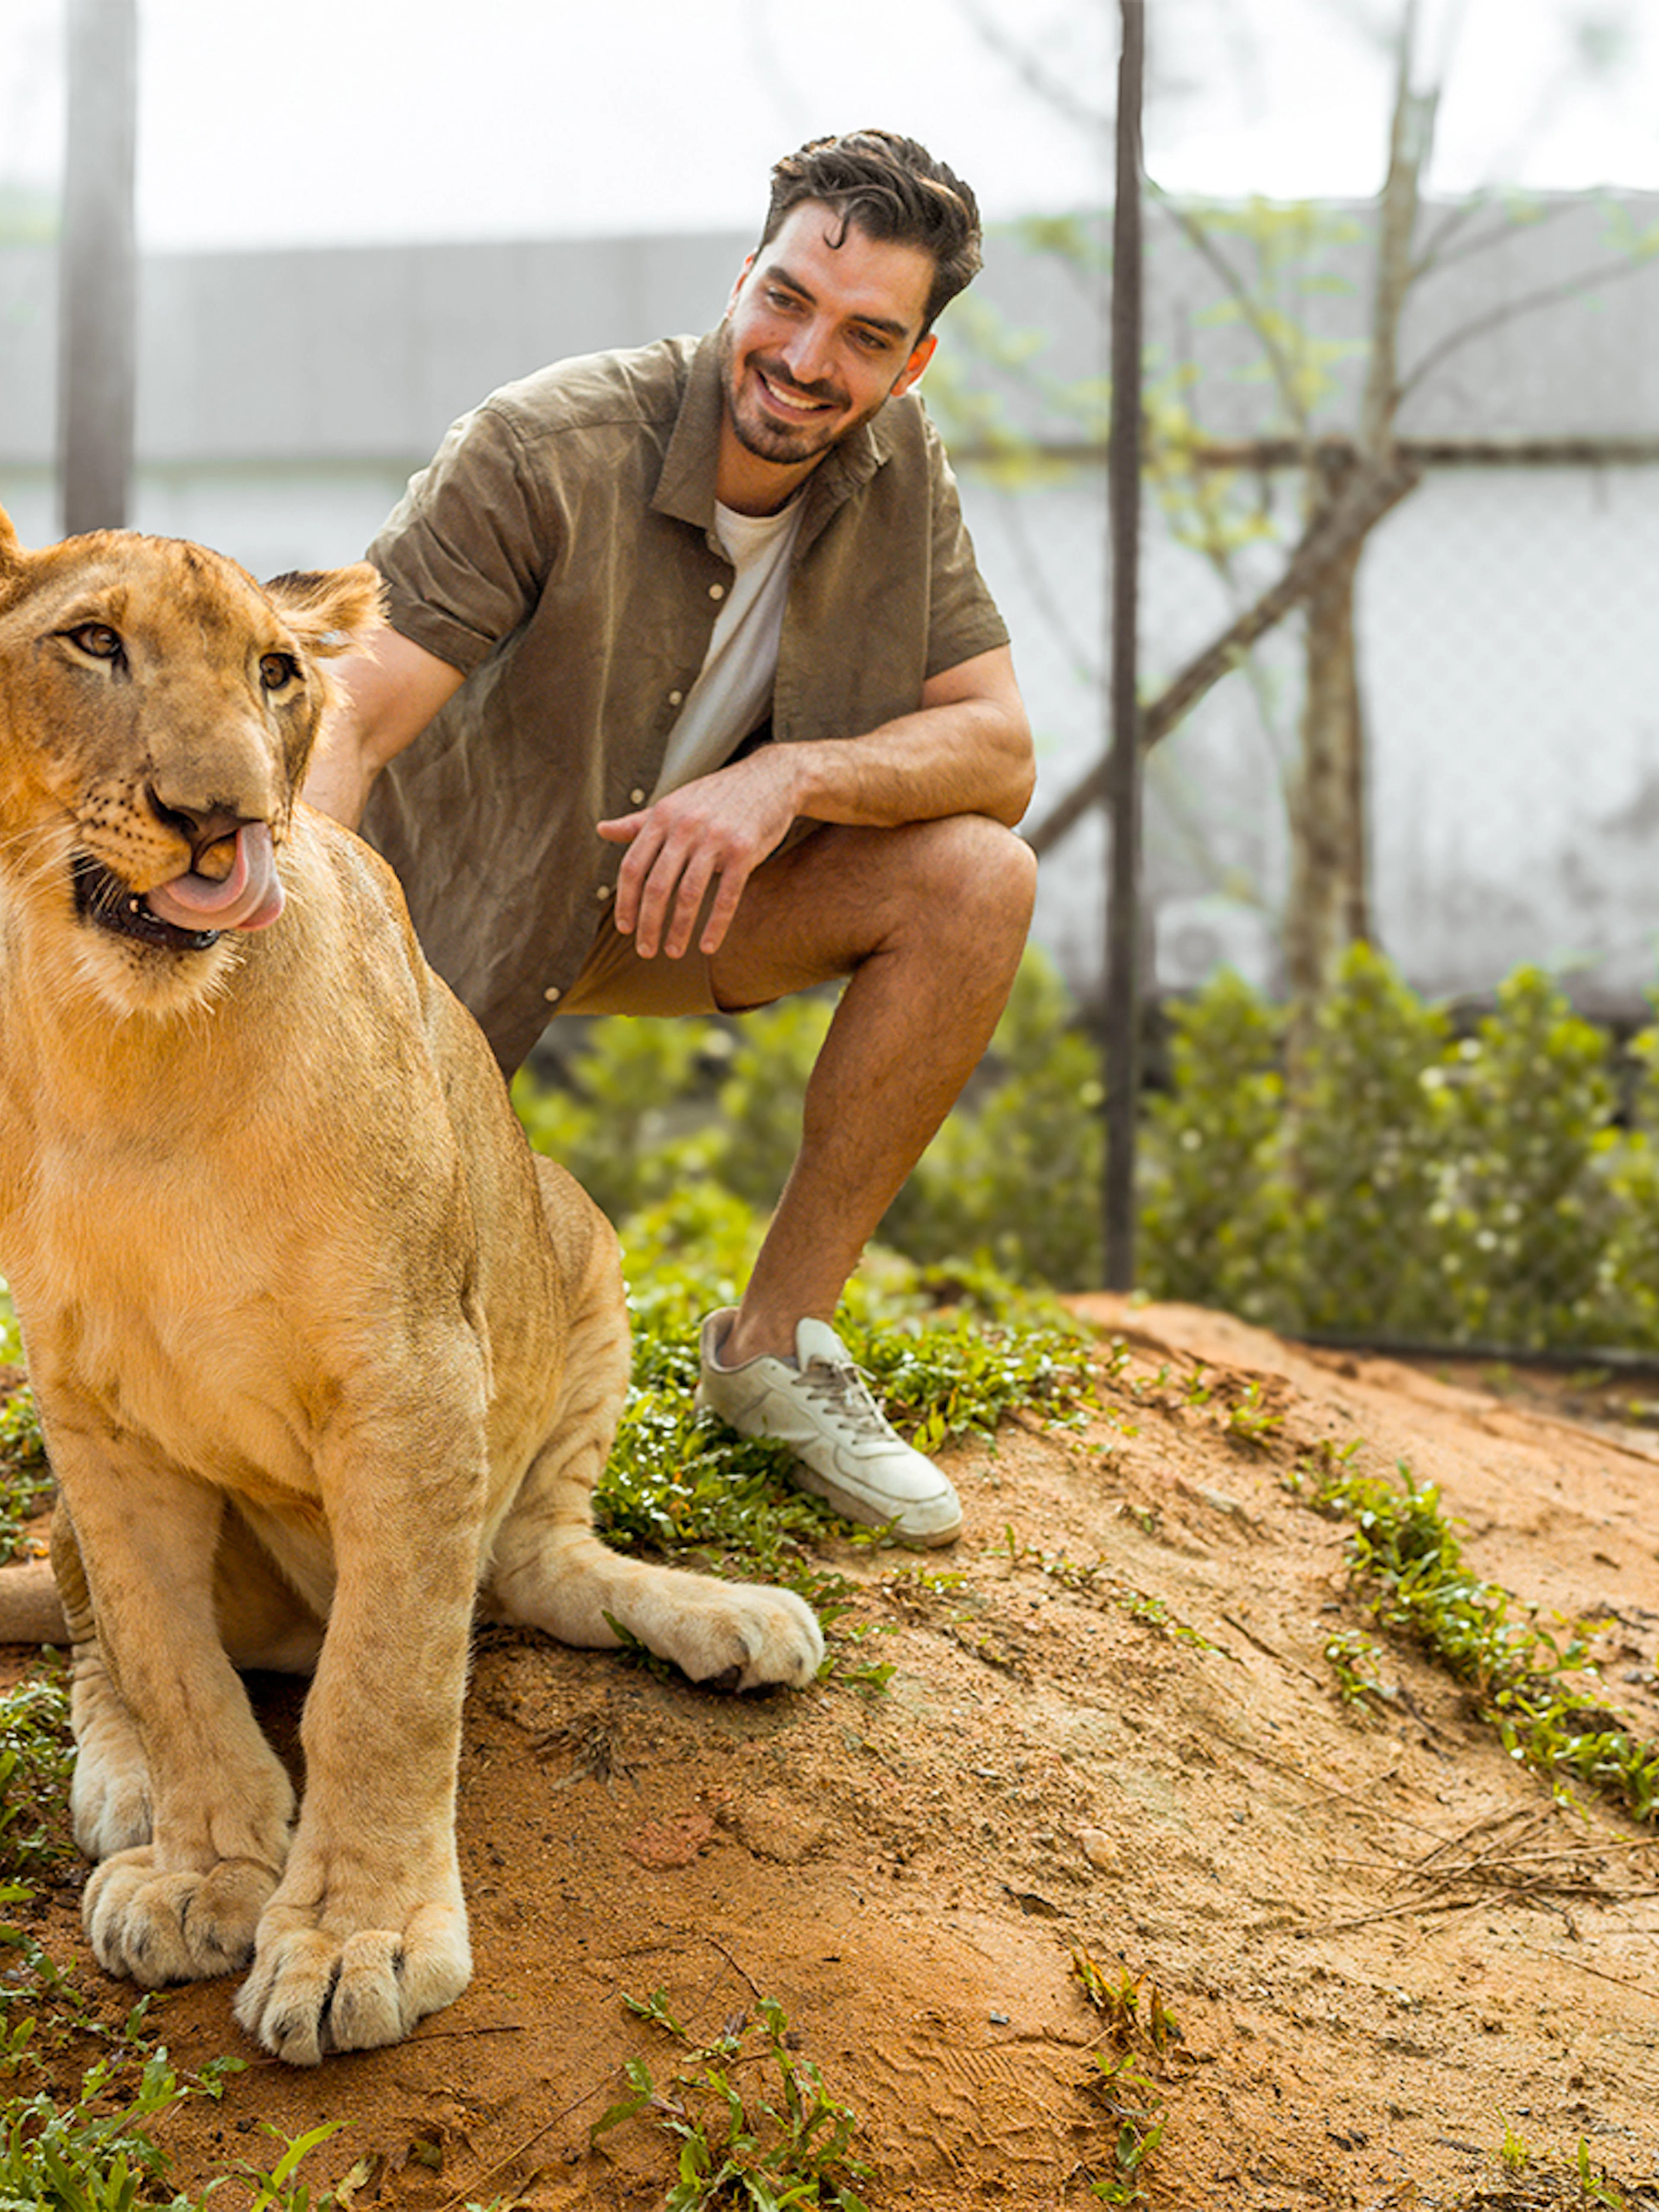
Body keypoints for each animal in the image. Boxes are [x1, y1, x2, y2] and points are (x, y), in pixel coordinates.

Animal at [0, 506, 823, 2066]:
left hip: (574, 1243)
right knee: (88, 1631)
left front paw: (349, 1941)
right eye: (93, 642)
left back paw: (728, 1620)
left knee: (528, 1565)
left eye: (274, 672)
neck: (138, 1054)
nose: (224, 819)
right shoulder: (94, 1412)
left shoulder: (415, 1379)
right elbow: (166, 1660)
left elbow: (382, 1687)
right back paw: (123, 1794)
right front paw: (205, 1871)